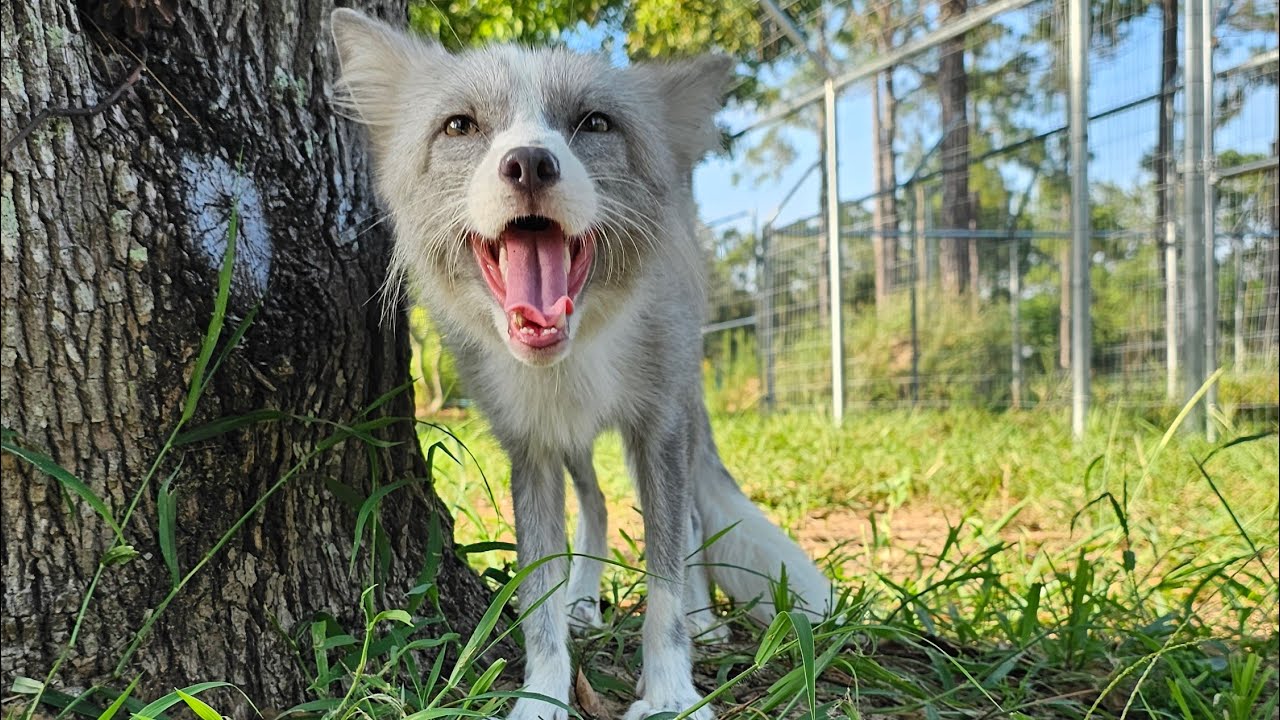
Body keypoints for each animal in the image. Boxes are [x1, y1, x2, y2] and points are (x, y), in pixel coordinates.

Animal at [330, 8, 835, 719]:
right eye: (461, 126)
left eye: (594, 123)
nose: (529, 163)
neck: (578, 360)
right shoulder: (533, 450)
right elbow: (538, 601)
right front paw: (544, 694)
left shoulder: (659, 429)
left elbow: (666, 582)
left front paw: (672, 689)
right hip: (575, 446)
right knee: (595, 507)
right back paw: (584, 602)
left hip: (679, 416)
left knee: (690, 521)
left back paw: (705, 622)